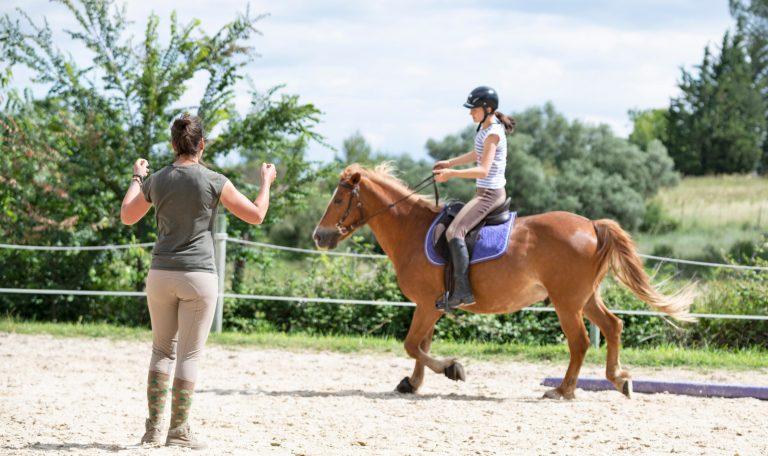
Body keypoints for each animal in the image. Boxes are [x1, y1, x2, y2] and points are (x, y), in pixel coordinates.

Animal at [312, 165, 696, 400]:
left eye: (339, 199)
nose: (319, 236)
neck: (412, 230)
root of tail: (591, 225)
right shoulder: (431, 305)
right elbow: (421, 345)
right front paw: (413, 382)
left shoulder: (426, 304)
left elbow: (411, 344)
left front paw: (452, 369)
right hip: (585, 297)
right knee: (613, 327)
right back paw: (619, 379)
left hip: (567, 302)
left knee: (580, 341)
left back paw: (563, 390)